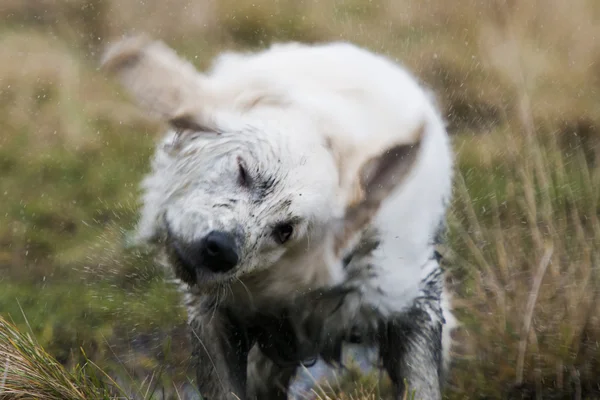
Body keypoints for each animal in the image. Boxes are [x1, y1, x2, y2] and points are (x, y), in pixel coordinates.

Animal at [102, 35, 454, 400]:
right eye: (243, 170)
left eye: (285, 231)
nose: (220, 250)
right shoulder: (215, 318)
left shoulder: (411, 300)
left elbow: (421, 381)